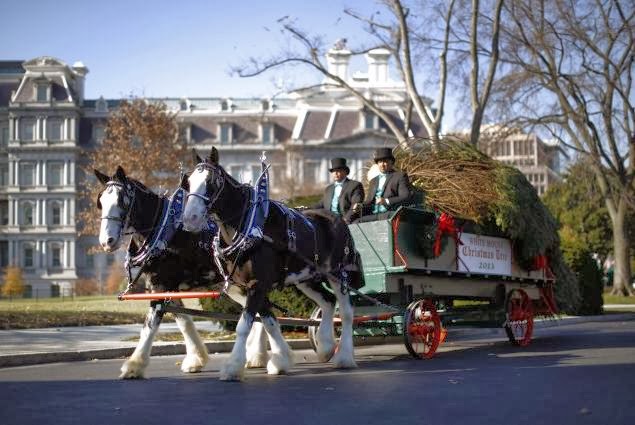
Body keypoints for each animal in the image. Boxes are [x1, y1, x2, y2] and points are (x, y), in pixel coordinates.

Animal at [95, 166, 274, 378]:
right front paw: (196, 358)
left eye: (122, 201)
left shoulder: (161, 286)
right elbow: (184, 322)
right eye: (101, 202)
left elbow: (150, 325)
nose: (107, 241)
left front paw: (134, 365)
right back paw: (255, 355)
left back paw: (256, 355)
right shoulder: (166, 287)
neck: (166, 233)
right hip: (235, 286)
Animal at [183, 148, 362, 380]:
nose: (190, 218)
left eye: (211, 182)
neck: (249, 228)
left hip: (339, 274)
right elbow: (269, 323)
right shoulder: (253, 286)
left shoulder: (257, 285)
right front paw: (280, 360)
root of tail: (338, 219)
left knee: (347, 311)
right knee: (328, 302)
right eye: (188, 182)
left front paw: (233, 366)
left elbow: (244, 326)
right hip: (306, 278)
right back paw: (325, 346)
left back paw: (345, 357)